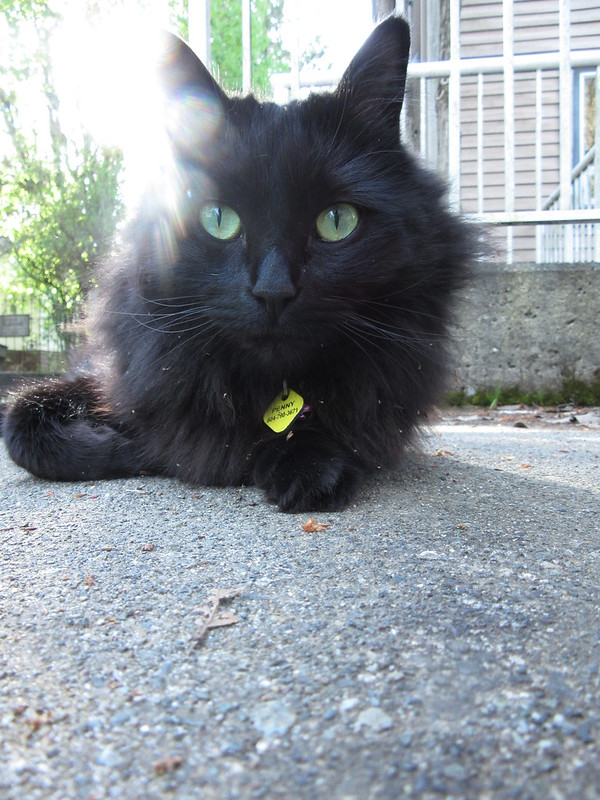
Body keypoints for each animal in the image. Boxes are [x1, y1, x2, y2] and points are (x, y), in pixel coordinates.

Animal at [3, 16, 472, 512]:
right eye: (218, 219)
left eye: (337, 221)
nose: (273, 292)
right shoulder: (104, 376)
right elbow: (20, 421)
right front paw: (126, 446)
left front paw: (305, 465)